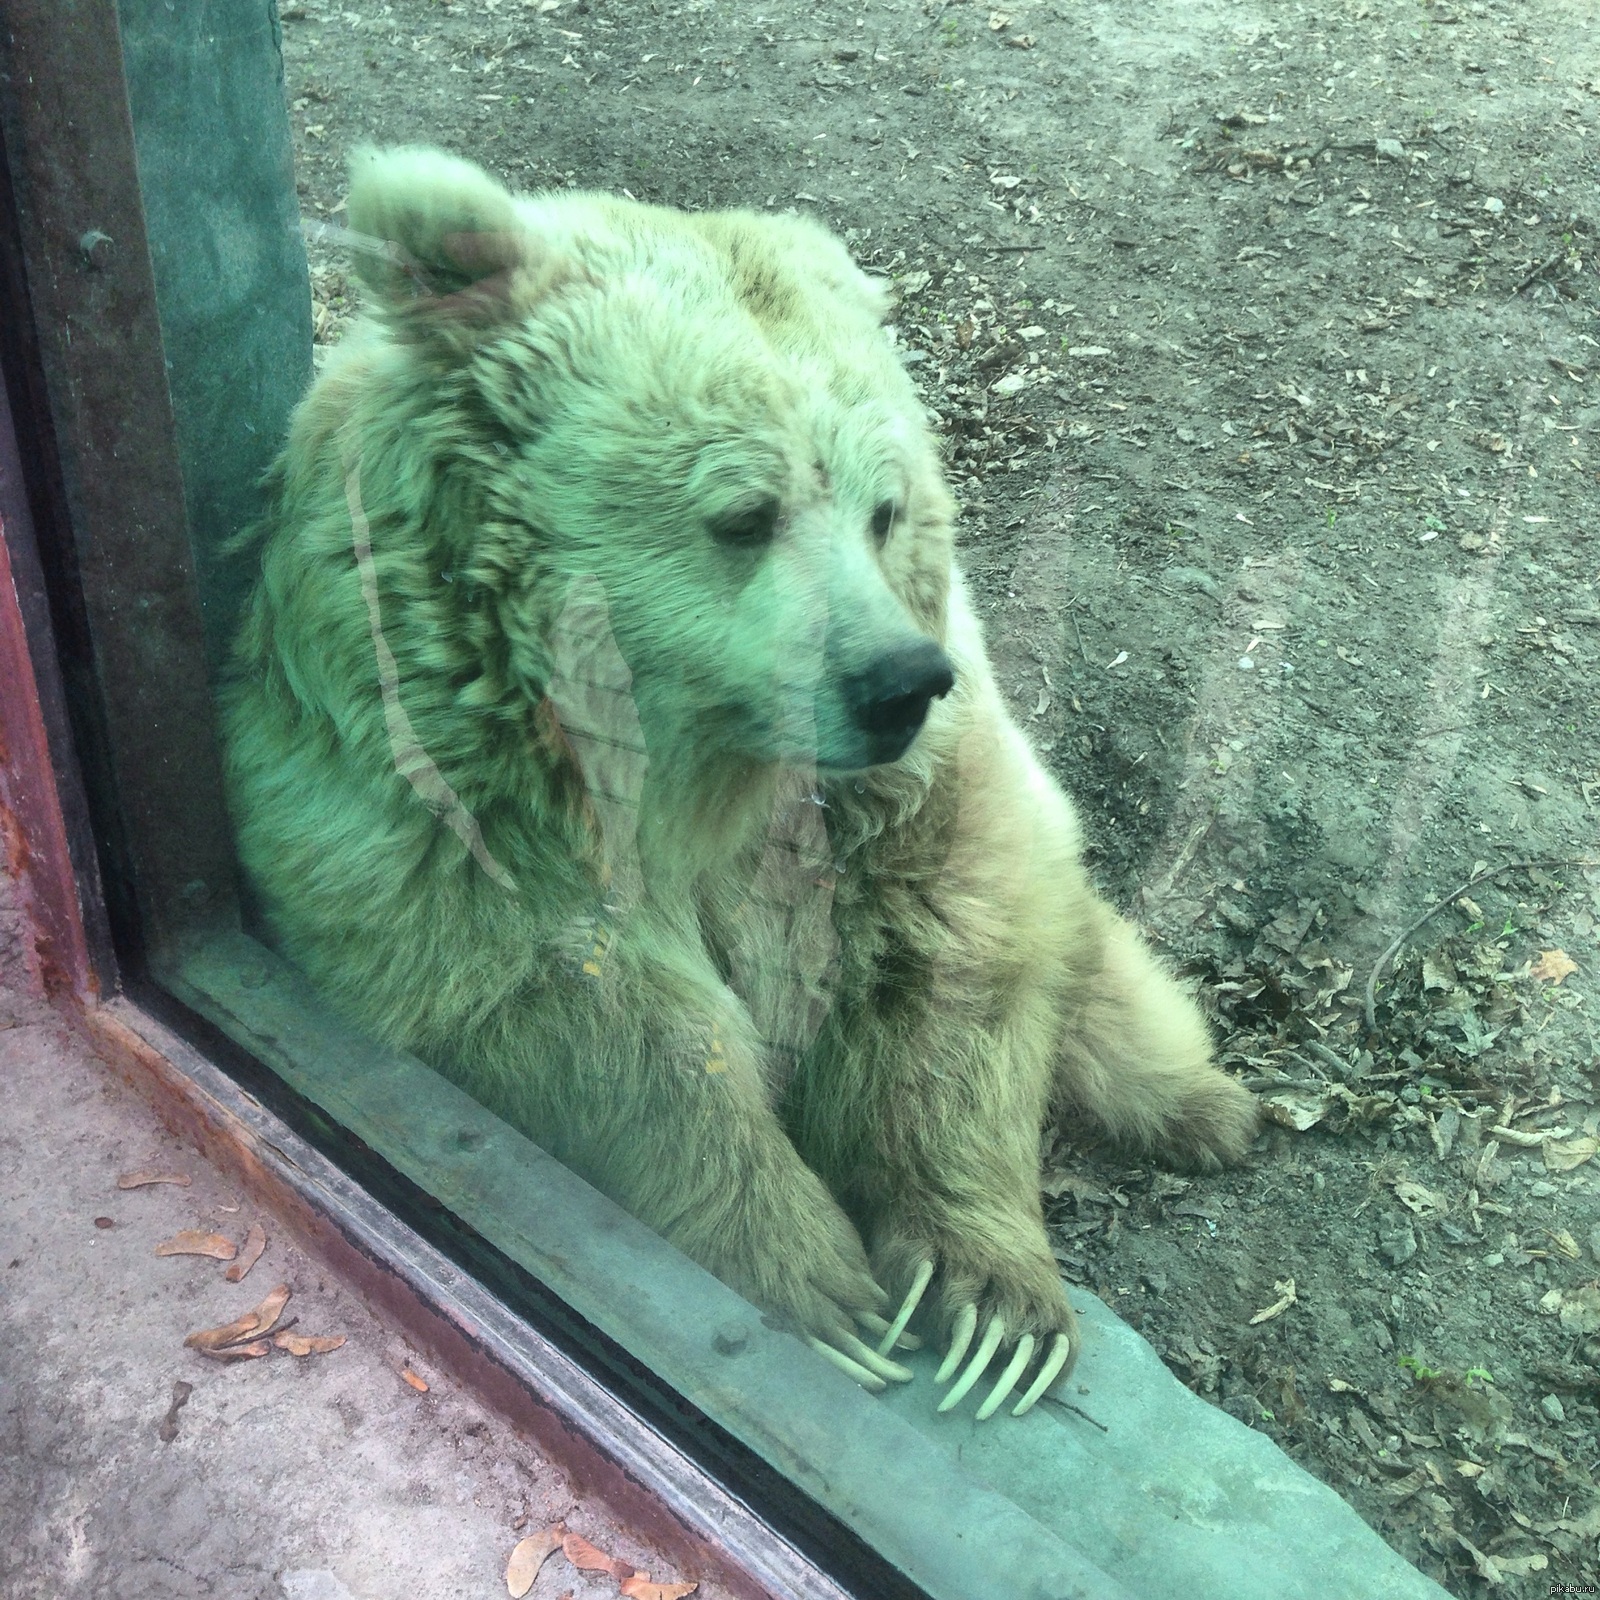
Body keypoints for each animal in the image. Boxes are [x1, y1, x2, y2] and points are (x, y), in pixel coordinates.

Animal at [219, 147, 1254, 1427]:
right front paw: (817, 1284)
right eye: (744, 513)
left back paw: (1202, 1106)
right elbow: (601, 1027)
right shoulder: (424, 788)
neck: (689, 764)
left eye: (884, 506)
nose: (896, 681)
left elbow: (950, 955)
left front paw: (984, 1299)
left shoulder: (909, 797)